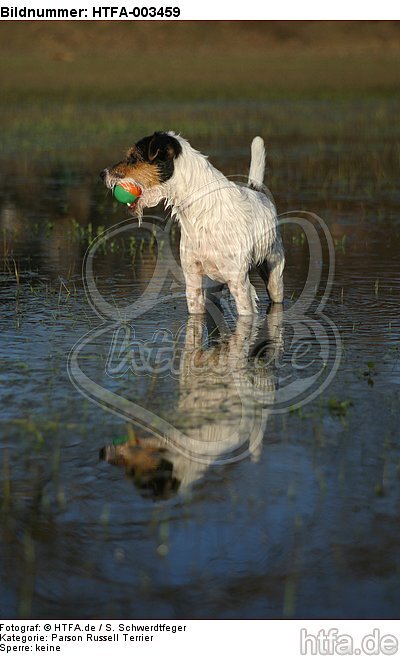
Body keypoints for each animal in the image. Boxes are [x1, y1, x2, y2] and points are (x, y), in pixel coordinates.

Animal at [101, 131, 286, 316]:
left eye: (134, 158)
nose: (102, 174)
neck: (200, 212)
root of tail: (256, 189)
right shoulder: (192, 279)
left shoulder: (239, 285)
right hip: (213, 285)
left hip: (274, 273)